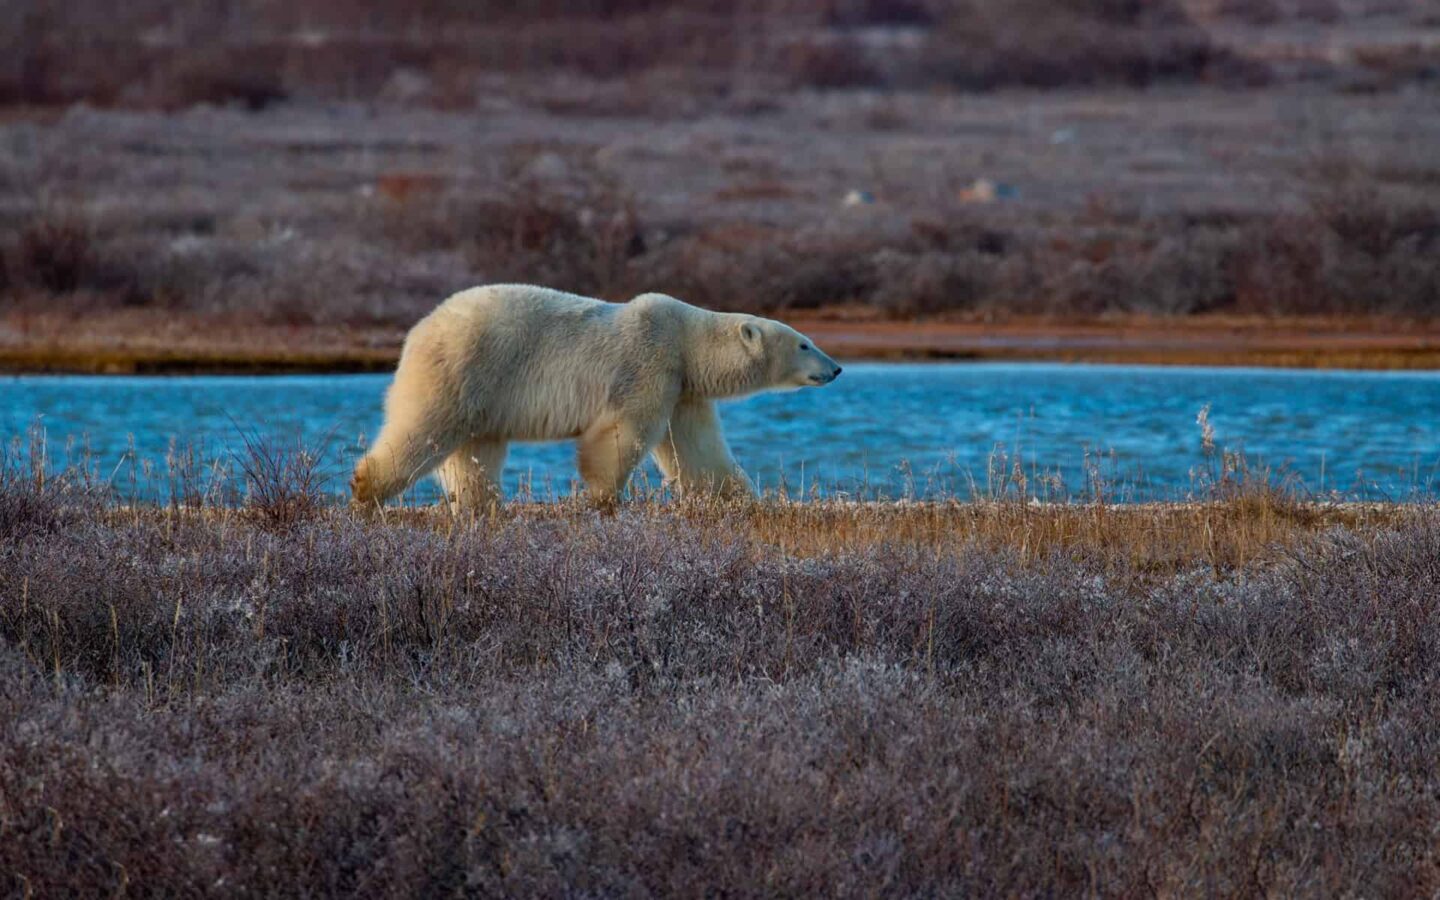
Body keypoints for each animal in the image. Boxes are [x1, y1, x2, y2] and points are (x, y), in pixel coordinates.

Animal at [351, 284, 842, 510]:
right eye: (804, 343)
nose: (836, 369)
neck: (685, 338)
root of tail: (417, 331)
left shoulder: (682, 388)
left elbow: (698, 449)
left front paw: (738, 498)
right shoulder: (649, 362)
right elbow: (622, 431)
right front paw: (606, 498)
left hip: (481, 396)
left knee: (475, 452)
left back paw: (482, 504)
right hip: (461, 367)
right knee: (423, 430)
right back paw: (364, 488)